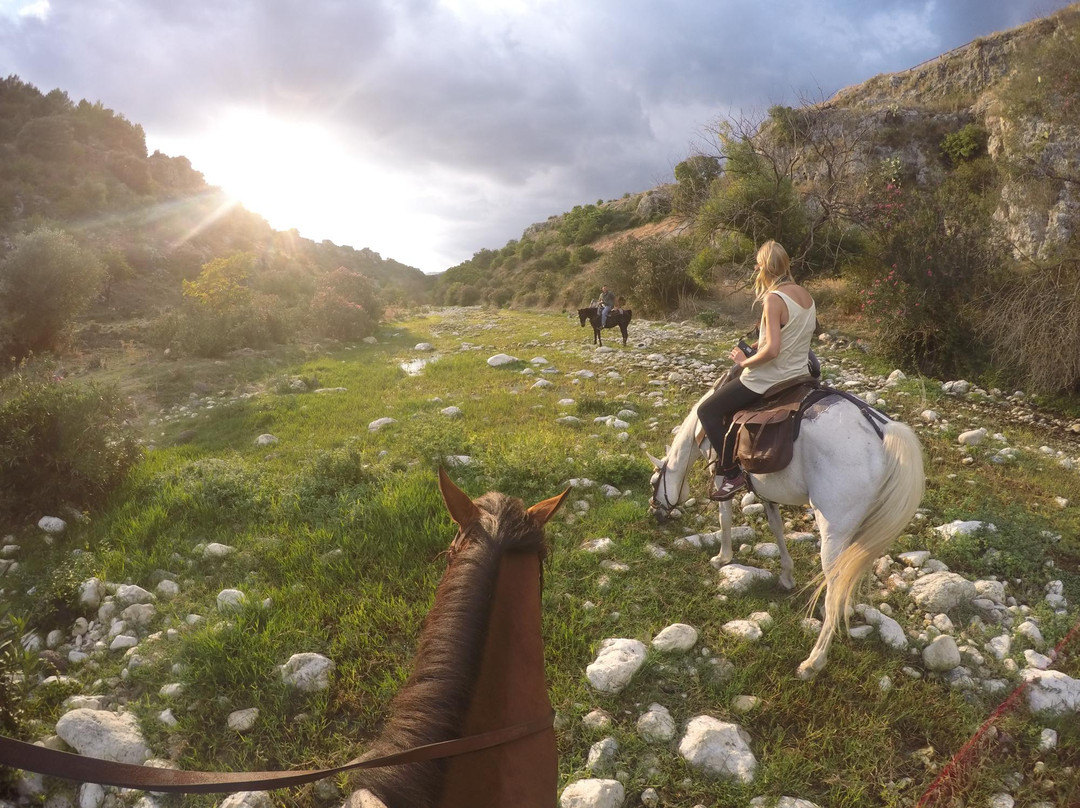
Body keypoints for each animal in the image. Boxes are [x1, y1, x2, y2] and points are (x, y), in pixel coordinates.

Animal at [643, 382, 924, 678]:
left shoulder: (720, 479)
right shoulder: (765, 490)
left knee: (833, 592)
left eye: (653, 482)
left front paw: (722, 557)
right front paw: (787, 575)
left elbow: (725, 517)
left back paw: (813, 662)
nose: (655, 514)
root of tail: (882, 432)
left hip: (833, 534)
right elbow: (776, 527)